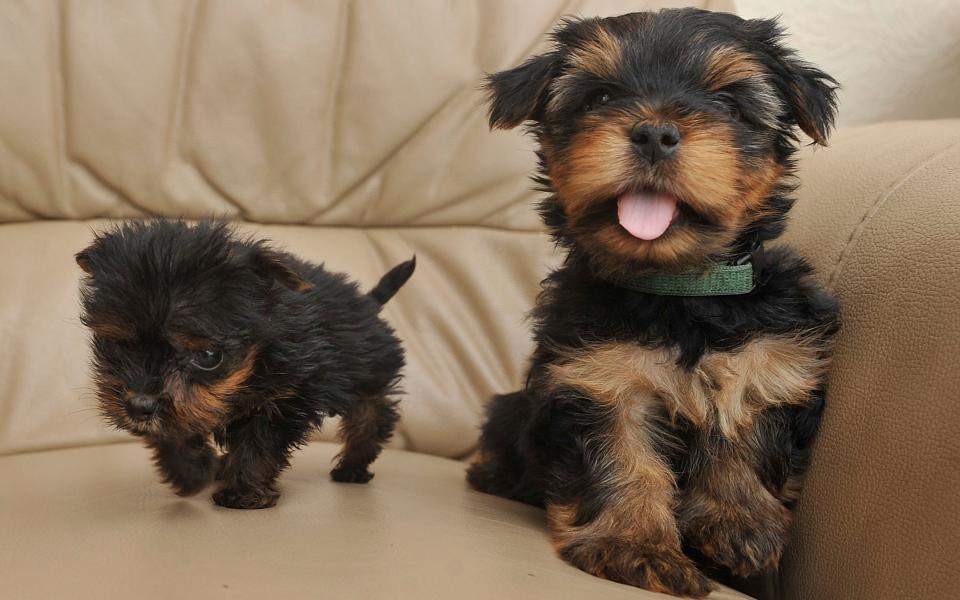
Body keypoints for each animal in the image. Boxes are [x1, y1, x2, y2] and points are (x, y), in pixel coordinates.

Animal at [77, 221, 414, 510]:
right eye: (117, 345)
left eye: (208, 356)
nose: (139, 406)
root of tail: (368, 303)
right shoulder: (185, 407)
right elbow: (178, 428)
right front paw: (189, 472)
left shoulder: (285, 397)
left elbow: (258, 444)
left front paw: (244, 493)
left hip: (366, 375)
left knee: (372, 416)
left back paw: (353, 467)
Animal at [466, 8, 840, 596]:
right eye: (599, 97)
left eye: (728, 104)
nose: (654, 133)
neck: (679, 288)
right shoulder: (600, 377)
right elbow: (624, 455)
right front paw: (634, 544)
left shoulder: (769, 359)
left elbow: (746, 426)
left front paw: (739, 521)